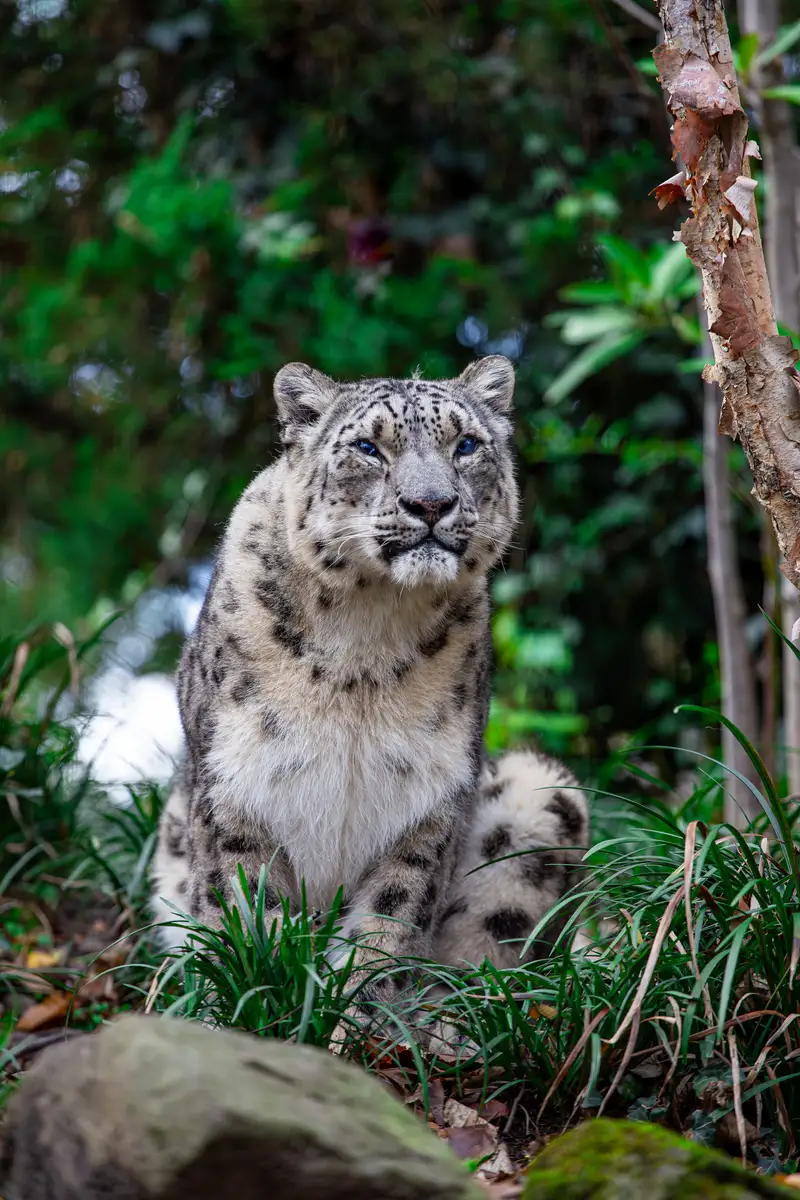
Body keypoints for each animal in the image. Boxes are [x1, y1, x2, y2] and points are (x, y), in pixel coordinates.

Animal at [151, 355, 589, 1038]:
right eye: (367, 447)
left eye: (466, 445)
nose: (431, 503)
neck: (365, 642)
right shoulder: (235, 787)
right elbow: (244, 913)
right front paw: (259, 1007)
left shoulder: (428, 802)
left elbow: (391, 920)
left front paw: (360, 1025)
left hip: (539, 797)